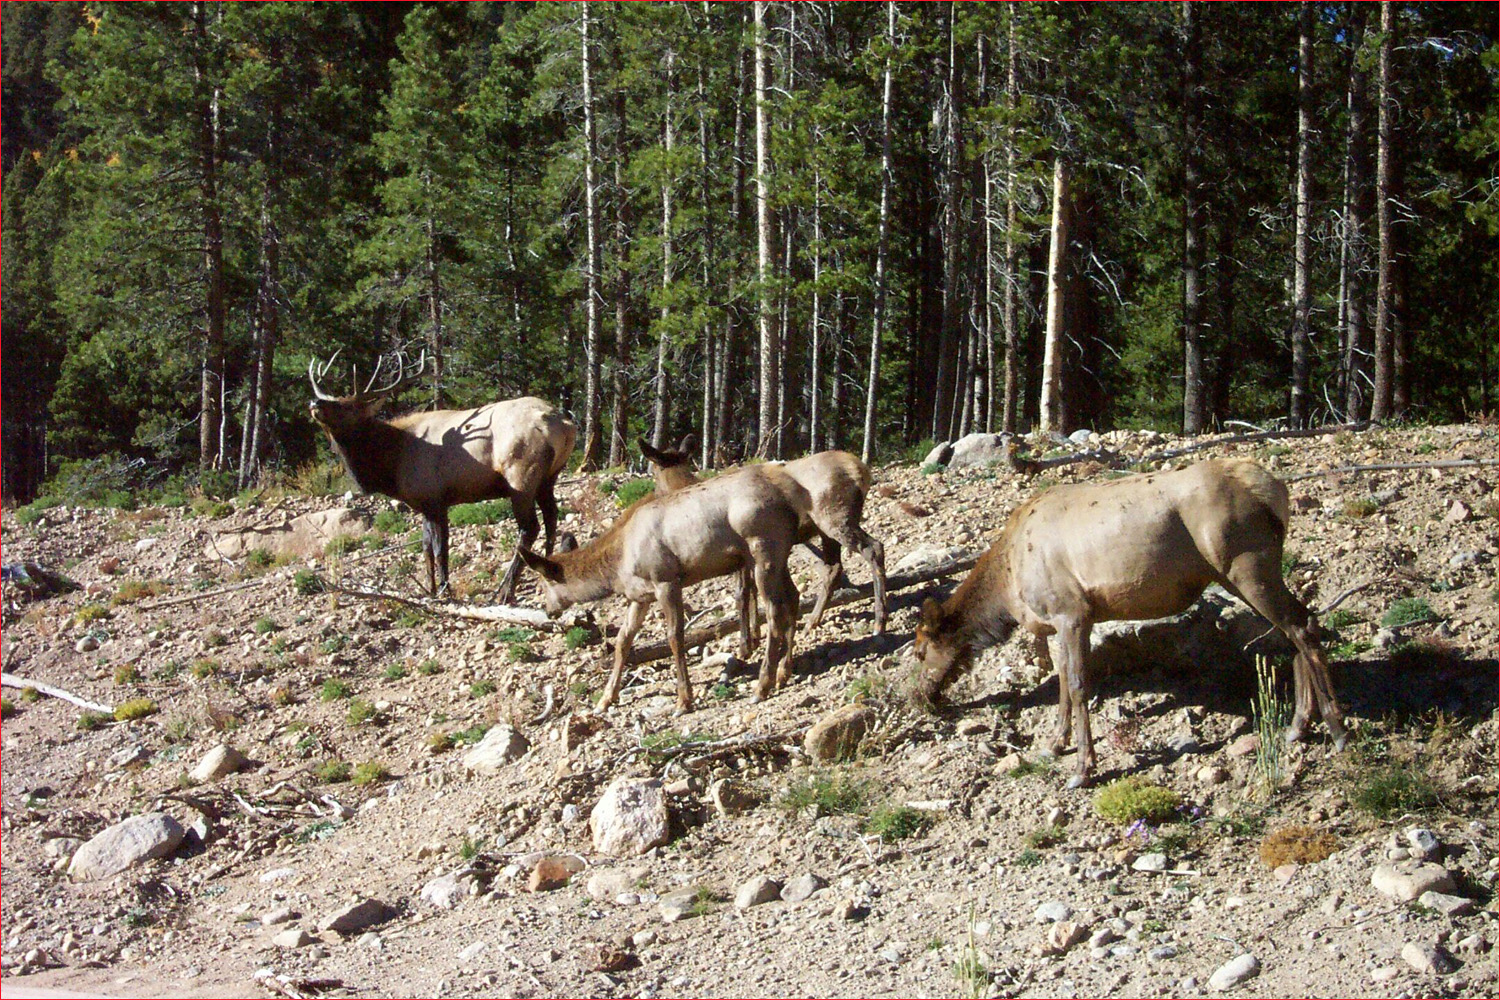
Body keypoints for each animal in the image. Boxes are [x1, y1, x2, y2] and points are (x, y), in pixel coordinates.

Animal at [307, 350, 576, 602]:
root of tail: (565, 423)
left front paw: (445, 590)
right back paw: (546, 570)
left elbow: (440, 548)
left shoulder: (435, 498)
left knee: (529, 528)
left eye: (349, 405)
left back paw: (505, 591)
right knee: (551, 516)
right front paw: (429, 588)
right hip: (548, 478)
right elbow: (426, 547)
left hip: (520, 476)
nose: (315, 402)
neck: (393, 462)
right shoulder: (425, 504)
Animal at [525, 470, 816, 716]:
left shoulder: (666, 580)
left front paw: (684, 700)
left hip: (762, 548)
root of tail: (790, 503)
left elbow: (675, 637)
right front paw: (606, 699)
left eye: (542, 585)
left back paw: (763, 685)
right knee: (793, 598)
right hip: (778, 554)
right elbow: (622, 641)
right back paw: (784, 672)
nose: (549, 610)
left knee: (775, 611)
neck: (618, 565)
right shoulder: (639, 596)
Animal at [636, 434, 888, 632]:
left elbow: (743, 595)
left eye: (654, 474)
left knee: (874, 548)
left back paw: (879, 620)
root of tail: (861, 470)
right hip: (826, 530)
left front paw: (748, 643)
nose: (653, 495)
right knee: (834, 568)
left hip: (835, 519)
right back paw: (812, 621)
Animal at [906, 458, 1356, 791]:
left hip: (1246, 564)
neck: (1008, 586)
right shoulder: (1064, 622)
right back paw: (1299, 724)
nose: (921, 696)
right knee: (1297, 627)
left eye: (921, 651)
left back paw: (1337, 729)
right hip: (1241, 575)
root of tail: (1276, 492)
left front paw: (1083, 769)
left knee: (1303, 627)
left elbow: (1077, 685)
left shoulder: (1072, 613)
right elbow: (1062, 686)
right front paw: (1054, 745)